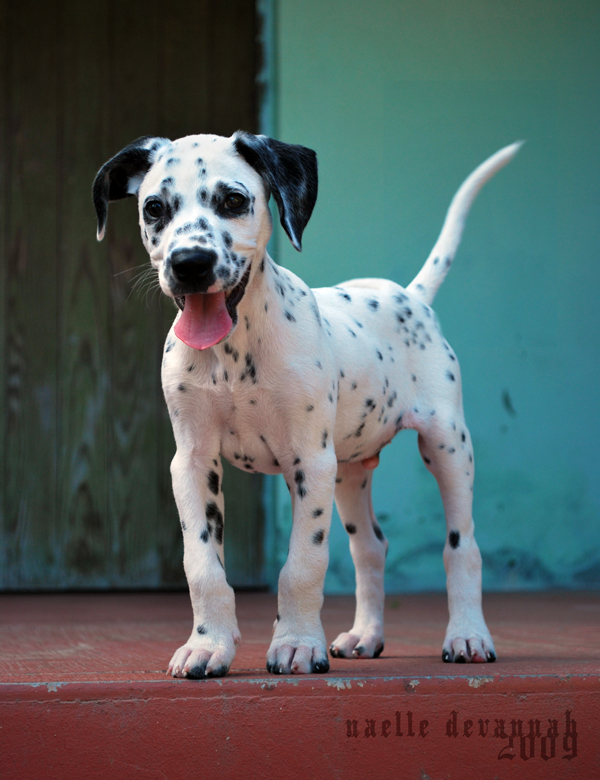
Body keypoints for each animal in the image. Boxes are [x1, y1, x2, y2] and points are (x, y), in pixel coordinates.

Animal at [92, 134, 520, 676]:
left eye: (233, 200)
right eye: (154, 208)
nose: (190, 263)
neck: (234, 355)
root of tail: (410, 297)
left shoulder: (309, 463)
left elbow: (303, 563)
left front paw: (296, 643)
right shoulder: (192, 463)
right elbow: (202, 564)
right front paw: (208, 645)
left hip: (447, 446)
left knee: (462, 546)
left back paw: (467, 635)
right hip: (350, 471)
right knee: (370, 548)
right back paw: (365, 636)